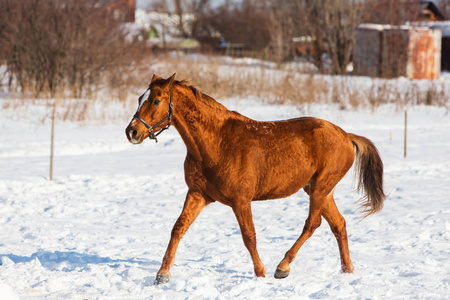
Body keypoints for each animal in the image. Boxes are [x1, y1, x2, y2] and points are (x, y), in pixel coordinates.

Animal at [125, 74, 384, 284]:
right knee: (338, 224)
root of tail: (346, 136)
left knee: (313, 224)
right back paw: (347, 270)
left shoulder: (241, 201)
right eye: (139, 98)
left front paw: (260, 274)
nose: (132, 132)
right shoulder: (198, 194)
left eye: (156, 100)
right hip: (318, 190)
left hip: (321, 188)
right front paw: (162, 275)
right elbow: (178, 228)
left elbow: (249, 236)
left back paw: (282, 267)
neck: (216, 143)